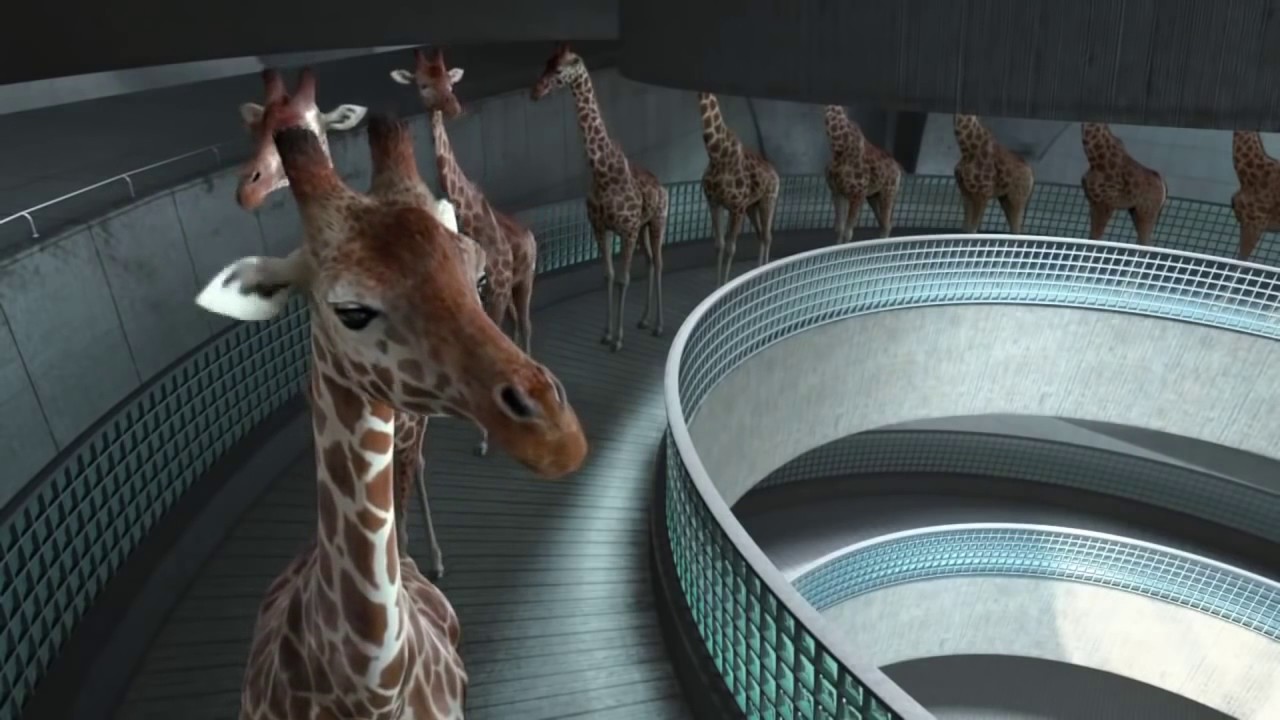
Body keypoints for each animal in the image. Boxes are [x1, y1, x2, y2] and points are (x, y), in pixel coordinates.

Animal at [531, 43, 669, 352]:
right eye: (544, 63)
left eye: (559, 69)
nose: (535, 91)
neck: (602, 171)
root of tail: (661, 186)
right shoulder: (600, 227)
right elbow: (607, 275)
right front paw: (607, 333)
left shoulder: (627, 229)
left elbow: (623, 278)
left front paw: (617, 339)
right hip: (644, 227)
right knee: (650, 261)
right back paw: (644, 320)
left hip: (657, 221)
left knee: (659, 262)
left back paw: (658, 326)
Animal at [698, 92, 780, 286]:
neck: (717, 153)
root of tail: (775, 173)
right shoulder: (714, 202)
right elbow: (719, 245)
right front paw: (717, 284)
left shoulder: (737, 207)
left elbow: (731, 248)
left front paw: (725, 284)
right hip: (752, 207)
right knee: (760, 235)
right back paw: (758, 271)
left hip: (768, 200)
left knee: (768, 236)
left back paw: (765, 274)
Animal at [823, 105, 902, 243]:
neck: (839, 146)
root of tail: (898, 169)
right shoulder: (837, 192)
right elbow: (839, 229)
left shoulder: (857, 195)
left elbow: (848, 232)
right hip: (873, 196)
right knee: (883, 224)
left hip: (888, 192)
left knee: (887, 224)